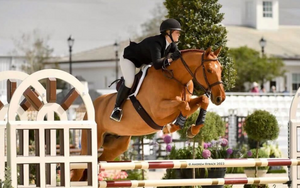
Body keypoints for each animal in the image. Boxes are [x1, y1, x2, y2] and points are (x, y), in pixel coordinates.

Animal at [71, 46, 225, 181]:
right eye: (209, 70)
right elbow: (184, 106)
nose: (220, 98)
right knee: (79, 169)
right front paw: (171, 127)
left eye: (221, 69)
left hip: (117, 145)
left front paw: (192, 129)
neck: (175, 78)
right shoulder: (157, 111)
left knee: (98, 162)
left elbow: (201, 100)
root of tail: (93, 106)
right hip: (91, 143)